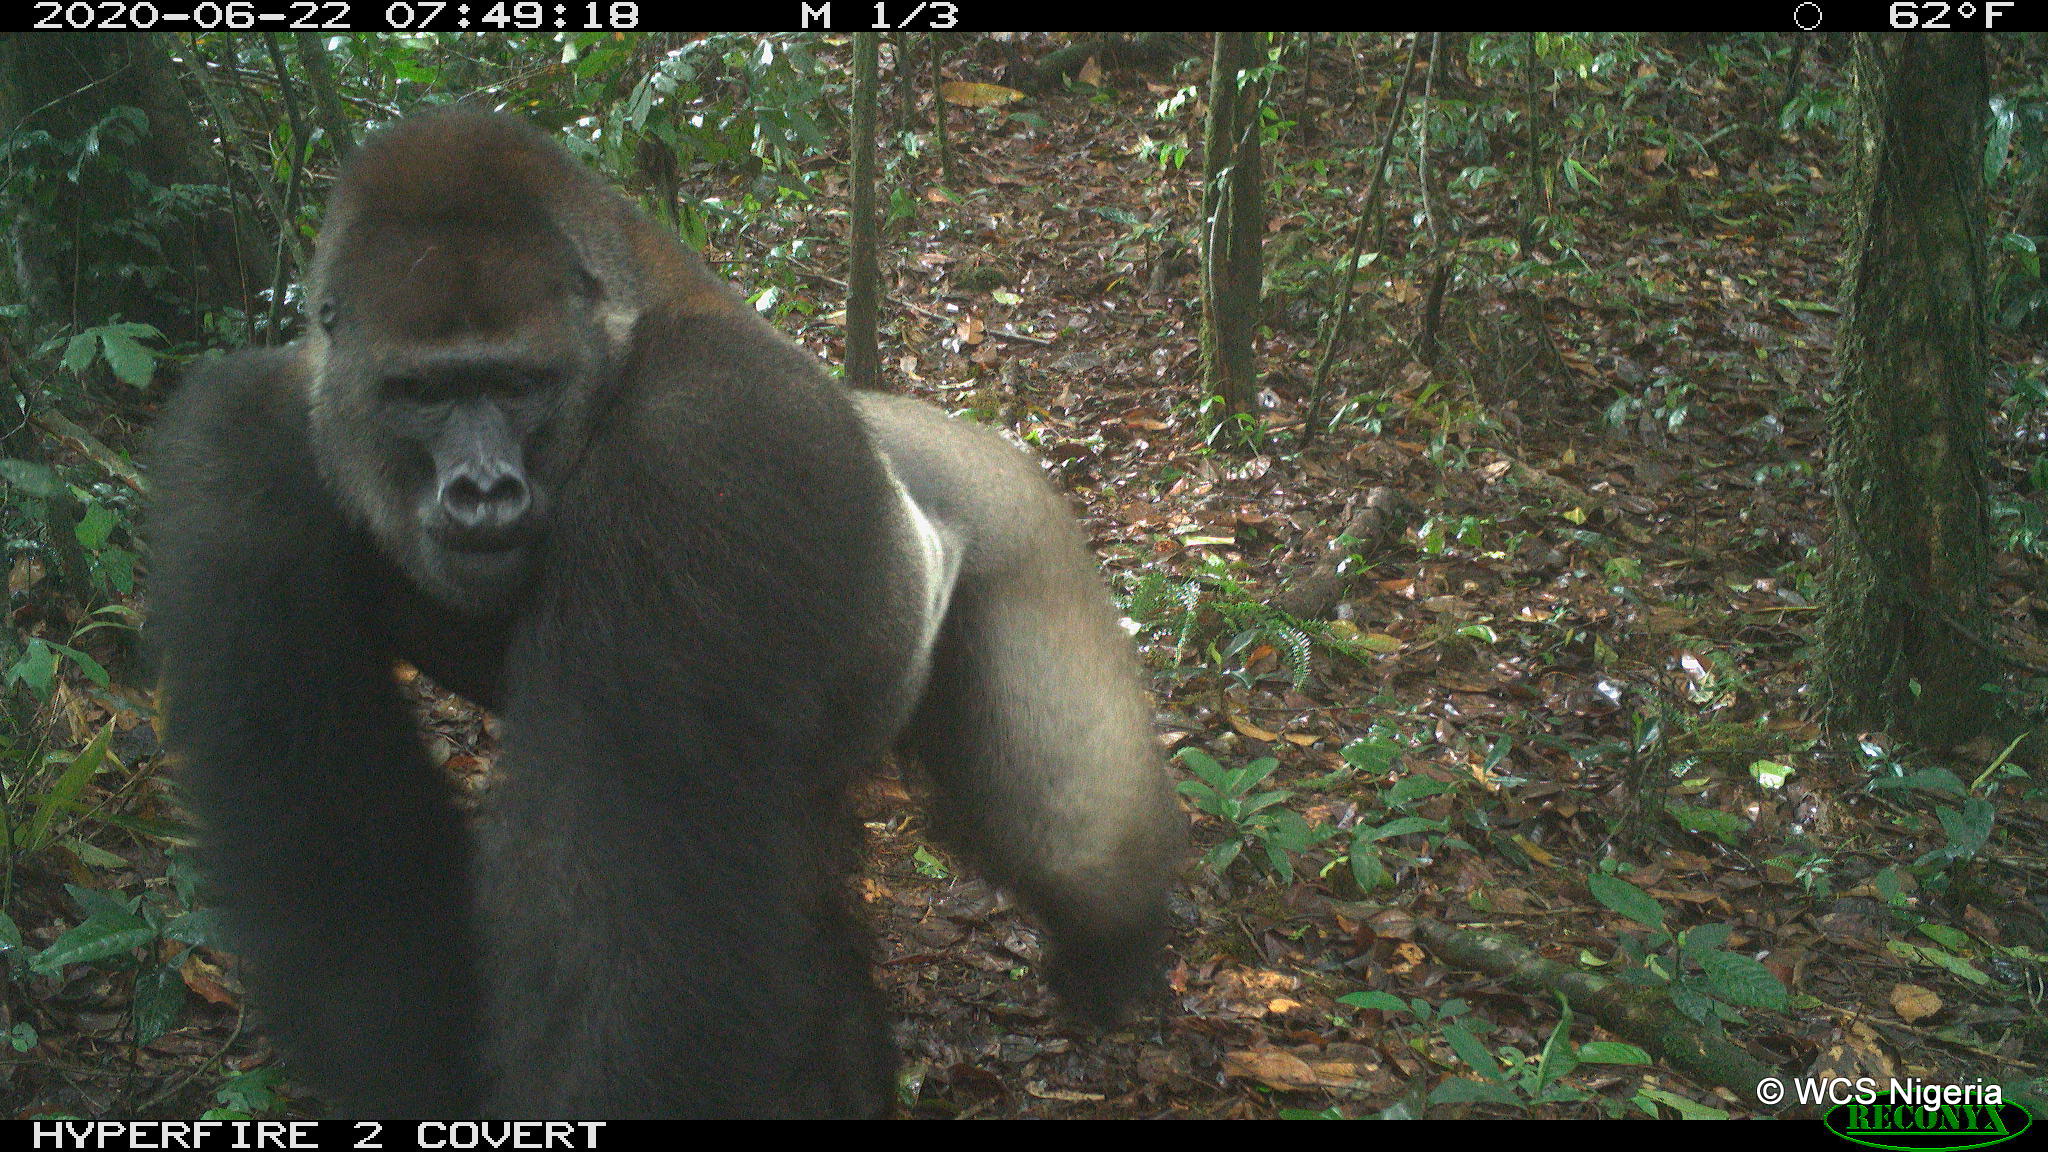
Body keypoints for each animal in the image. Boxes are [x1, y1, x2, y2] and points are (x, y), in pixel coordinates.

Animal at [148, 107, 1187, 1115]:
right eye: (420, 392)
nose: (481, 491)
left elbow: (631, 935)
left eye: (518, 384)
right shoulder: (241, 450)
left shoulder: (703, 450)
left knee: (1076, 843)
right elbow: (338, 856)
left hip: (1019, 523)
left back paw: (1117, 945)